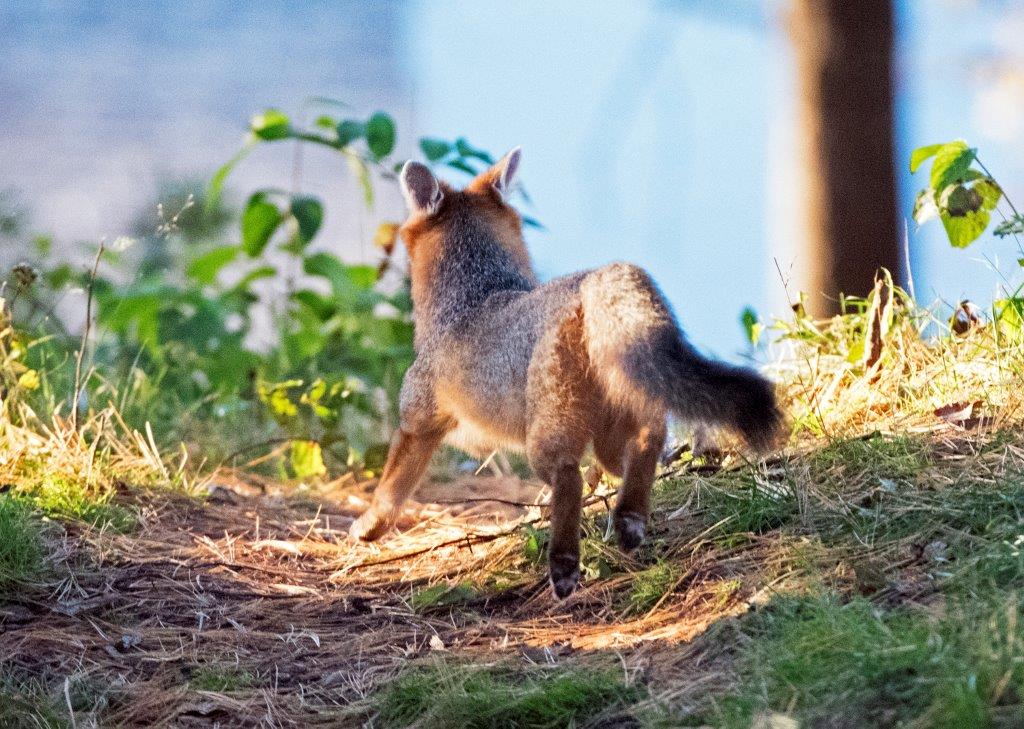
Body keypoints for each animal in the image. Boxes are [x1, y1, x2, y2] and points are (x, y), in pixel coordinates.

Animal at [350, 147, 783, 598]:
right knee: (649, 441)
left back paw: (564, 564)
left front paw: (368, 527)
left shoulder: (417, 424)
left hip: (545, 442)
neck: (470, 298)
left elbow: (390, 489)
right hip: (617, 422)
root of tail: (592, 282)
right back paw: (629, 519)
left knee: (569, 479)